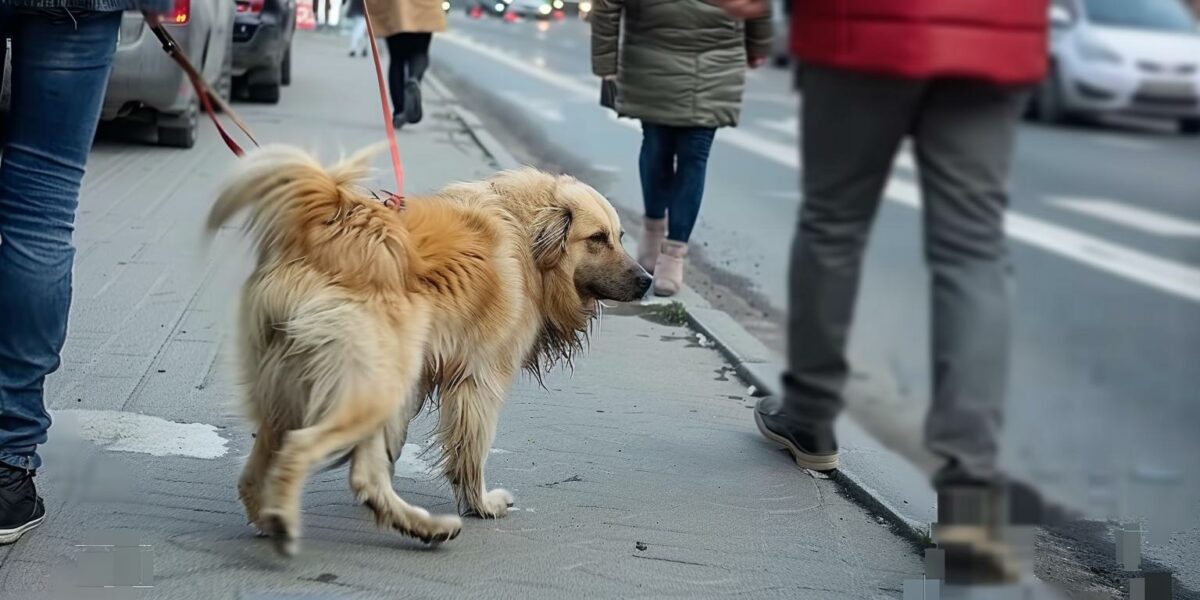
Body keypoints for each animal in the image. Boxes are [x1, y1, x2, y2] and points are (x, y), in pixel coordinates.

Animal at [211, 144, 652, 552]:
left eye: (619, 237)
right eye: (597, 239)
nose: (648, 281)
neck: (527, 239)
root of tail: (325, 225)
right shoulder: (481, 382)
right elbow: (471, 451)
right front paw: (480, 504)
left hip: (312, 388)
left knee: (276, 469)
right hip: (373, 384)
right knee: (311, 453)